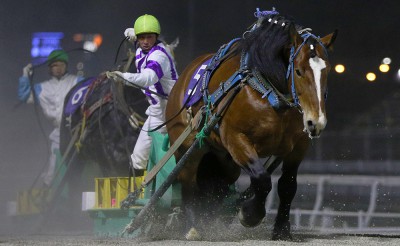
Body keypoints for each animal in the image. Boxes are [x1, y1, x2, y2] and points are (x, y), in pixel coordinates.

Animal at [166, 11, 338, 240]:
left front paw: (281, 229)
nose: (315, 122)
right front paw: (249, 214)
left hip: (223, 158)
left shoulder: (298, 147)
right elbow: (262, 179)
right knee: (188, 182)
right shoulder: (237, 139)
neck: (268, 92)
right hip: (189, 148)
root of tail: (182, 79)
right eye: (299, 71)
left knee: (219, 184)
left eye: (327, 71)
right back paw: (193, 226)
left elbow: (287, 185)